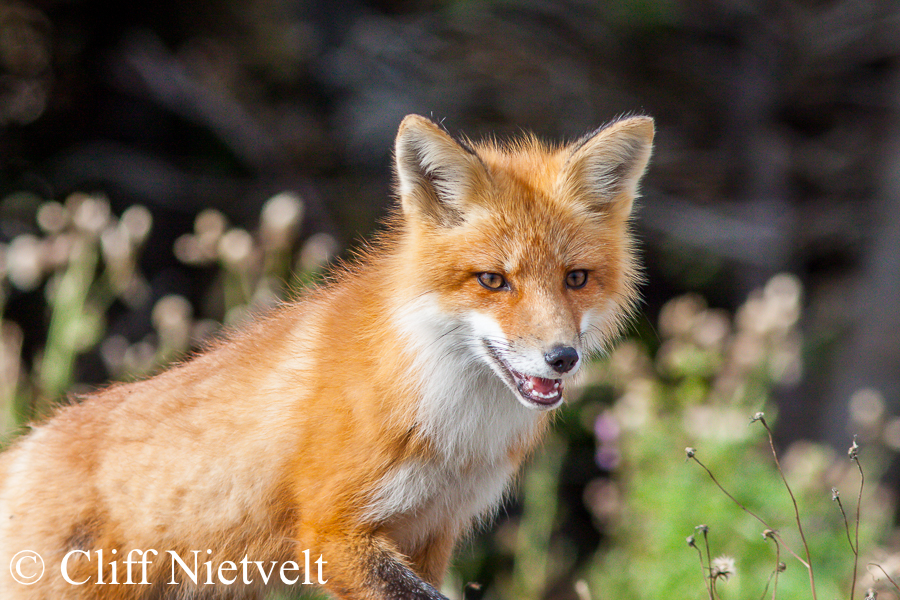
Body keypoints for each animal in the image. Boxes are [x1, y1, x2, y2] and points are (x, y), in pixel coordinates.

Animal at [0, 113, 653, 600]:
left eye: (576, 278)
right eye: (493, 280)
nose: (561, 358)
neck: (452, 428)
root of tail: (24, 448)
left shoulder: (432, 531)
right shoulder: (330, 531)